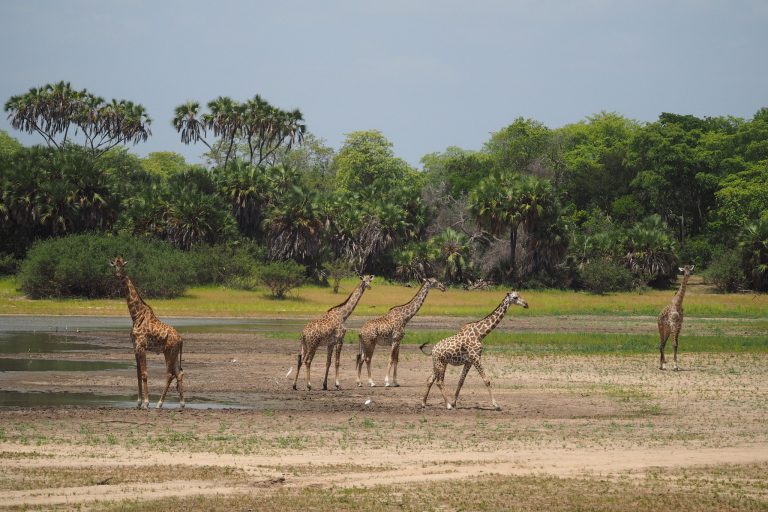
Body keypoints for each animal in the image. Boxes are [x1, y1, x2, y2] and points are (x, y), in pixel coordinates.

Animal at [110, 257, 184, 409]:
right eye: (115, 265)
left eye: (123, 266)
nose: (118, 275)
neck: (135, 315)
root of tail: (181, 339)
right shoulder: (135, 347)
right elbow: (138, 374)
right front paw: (138, 402)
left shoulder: (141, 346)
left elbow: (144, 374)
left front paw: (146, 402)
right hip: (173, 353)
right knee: (179, 373)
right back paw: (182, 403)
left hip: (169, 351)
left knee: (170, 374)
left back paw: (159, 403)